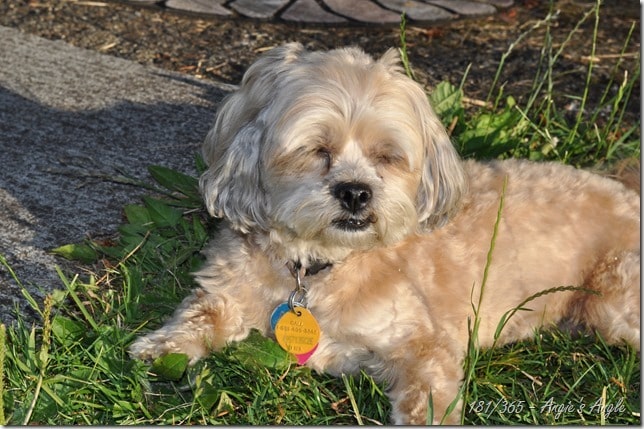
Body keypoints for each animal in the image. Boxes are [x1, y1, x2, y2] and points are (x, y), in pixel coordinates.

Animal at [130, 41, 640, 422]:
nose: (355, 193)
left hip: (613, 301)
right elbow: (199, 315)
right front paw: (159, 348)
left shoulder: (422, 344)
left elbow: (427, 397)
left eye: (386, 156)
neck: (317, 266)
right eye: (318, 149)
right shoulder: (227, 290)